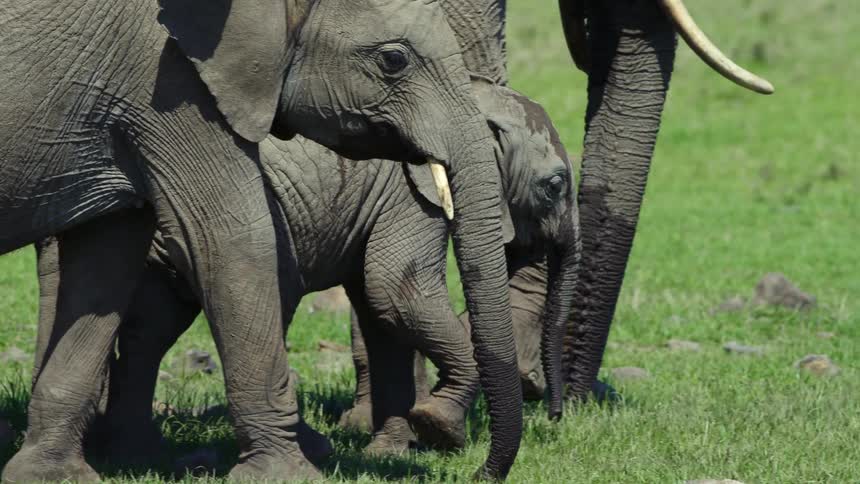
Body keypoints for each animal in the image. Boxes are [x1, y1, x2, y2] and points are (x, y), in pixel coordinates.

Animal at [0, 0, 523, 480]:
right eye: (393, 60)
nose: (475, 470)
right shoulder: (169, 78)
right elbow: (234, 239)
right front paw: (287, 474)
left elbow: (106, 260)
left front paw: (51, 475)